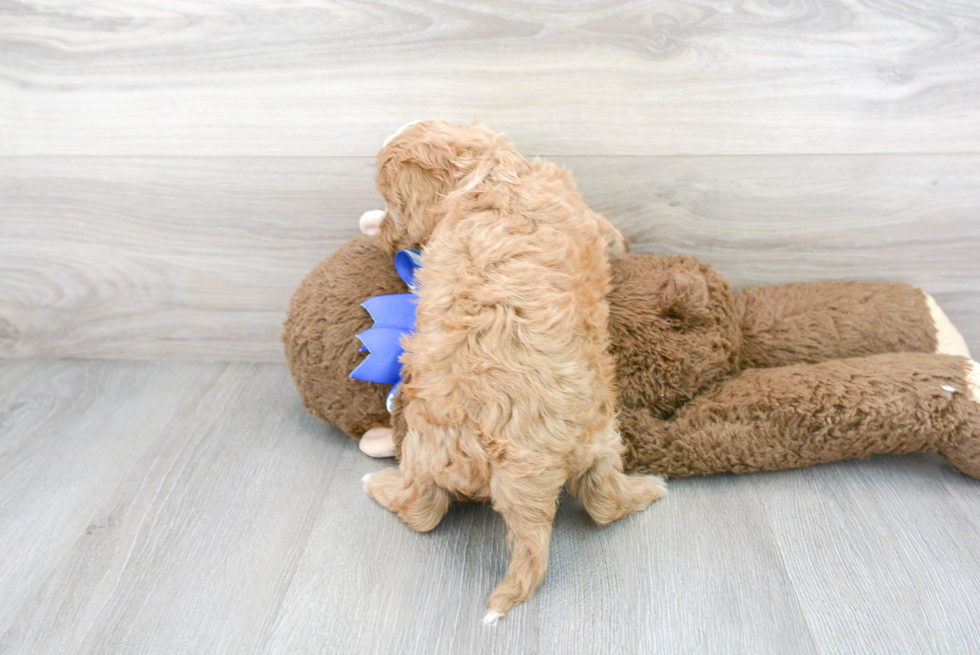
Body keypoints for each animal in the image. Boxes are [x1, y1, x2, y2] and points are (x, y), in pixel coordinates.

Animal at [360, 120, 668, 624]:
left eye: (389, 196)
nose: (386, 237)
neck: (492, 174)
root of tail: (520, 473)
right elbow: (606, 230)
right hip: (599, 436)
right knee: (603, 501)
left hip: (433, 447)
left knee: (424, 510)